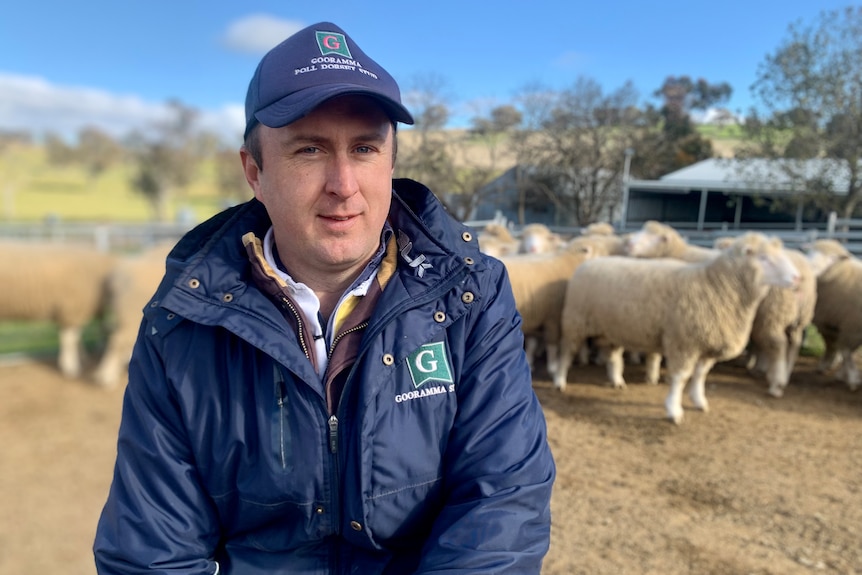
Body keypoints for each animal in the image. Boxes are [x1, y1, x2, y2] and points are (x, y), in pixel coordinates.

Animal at [0, 241, 116, 380]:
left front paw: (81, 358)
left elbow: (76, 337)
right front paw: (70, 367)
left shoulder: (70, 311)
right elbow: (70, 339)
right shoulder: (71, 308)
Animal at [556, 232, 800, 426]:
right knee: (567, 351)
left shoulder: (707, 343)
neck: (717, 286)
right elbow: (681, 378)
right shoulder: (684, 342)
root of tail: (589, 263)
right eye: (764, 258)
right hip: (576, 321)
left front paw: (699, 400)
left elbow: (700, 375)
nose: (797, 278)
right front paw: (674, 410)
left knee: (613, 356)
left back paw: (617, 380)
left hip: (613, 328)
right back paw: (559, 381)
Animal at [804, 238, 862, 392]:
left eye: (832, 258)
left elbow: (846, 352)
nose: (810, 267)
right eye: (810, 253)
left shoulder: (852, 327)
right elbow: (833, 346)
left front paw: (851, 378)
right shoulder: (829, 322)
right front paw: (830, 366)